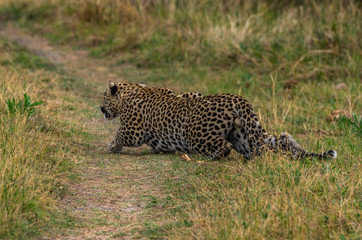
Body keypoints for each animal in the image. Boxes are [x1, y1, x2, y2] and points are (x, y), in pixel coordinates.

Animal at [99, 81, 336, 160]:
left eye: (103, 96)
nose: (100, 108)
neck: (133, 91)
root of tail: (236, 98)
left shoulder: (134, 130)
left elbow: (121, 134)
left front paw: (110, 146)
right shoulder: (187, 94)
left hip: (195, 135)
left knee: (224, 147)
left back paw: (210, 157)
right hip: (243, 135)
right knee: (276, 142)